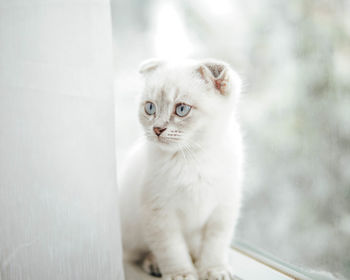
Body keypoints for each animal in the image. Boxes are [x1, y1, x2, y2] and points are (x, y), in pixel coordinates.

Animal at [119, 57, 243, 280]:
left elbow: (215, 245)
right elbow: (172, 249)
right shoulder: (160, 213)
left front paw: (214, 269)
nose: (157, 129)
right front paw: (181, 274)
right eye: (150, 108)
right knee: (141, 252)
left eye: (182, 109)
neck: (193, 157)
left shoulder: (223, 208)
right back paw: (154, 264)